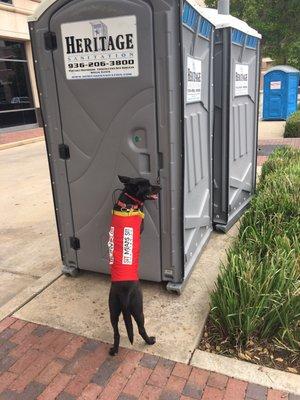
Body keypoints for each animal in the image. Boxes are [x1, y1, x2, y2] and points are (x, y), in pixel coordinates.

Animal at [106, 176, 161, 356]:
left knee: (116, 332)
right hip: (138, 307)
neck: (128, 202)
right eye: (149, 185)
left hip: (113, 309)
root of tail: (124, 294)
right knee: (140, 328)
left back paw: (114, 349)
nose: (160, 187)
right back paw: (150, 341)